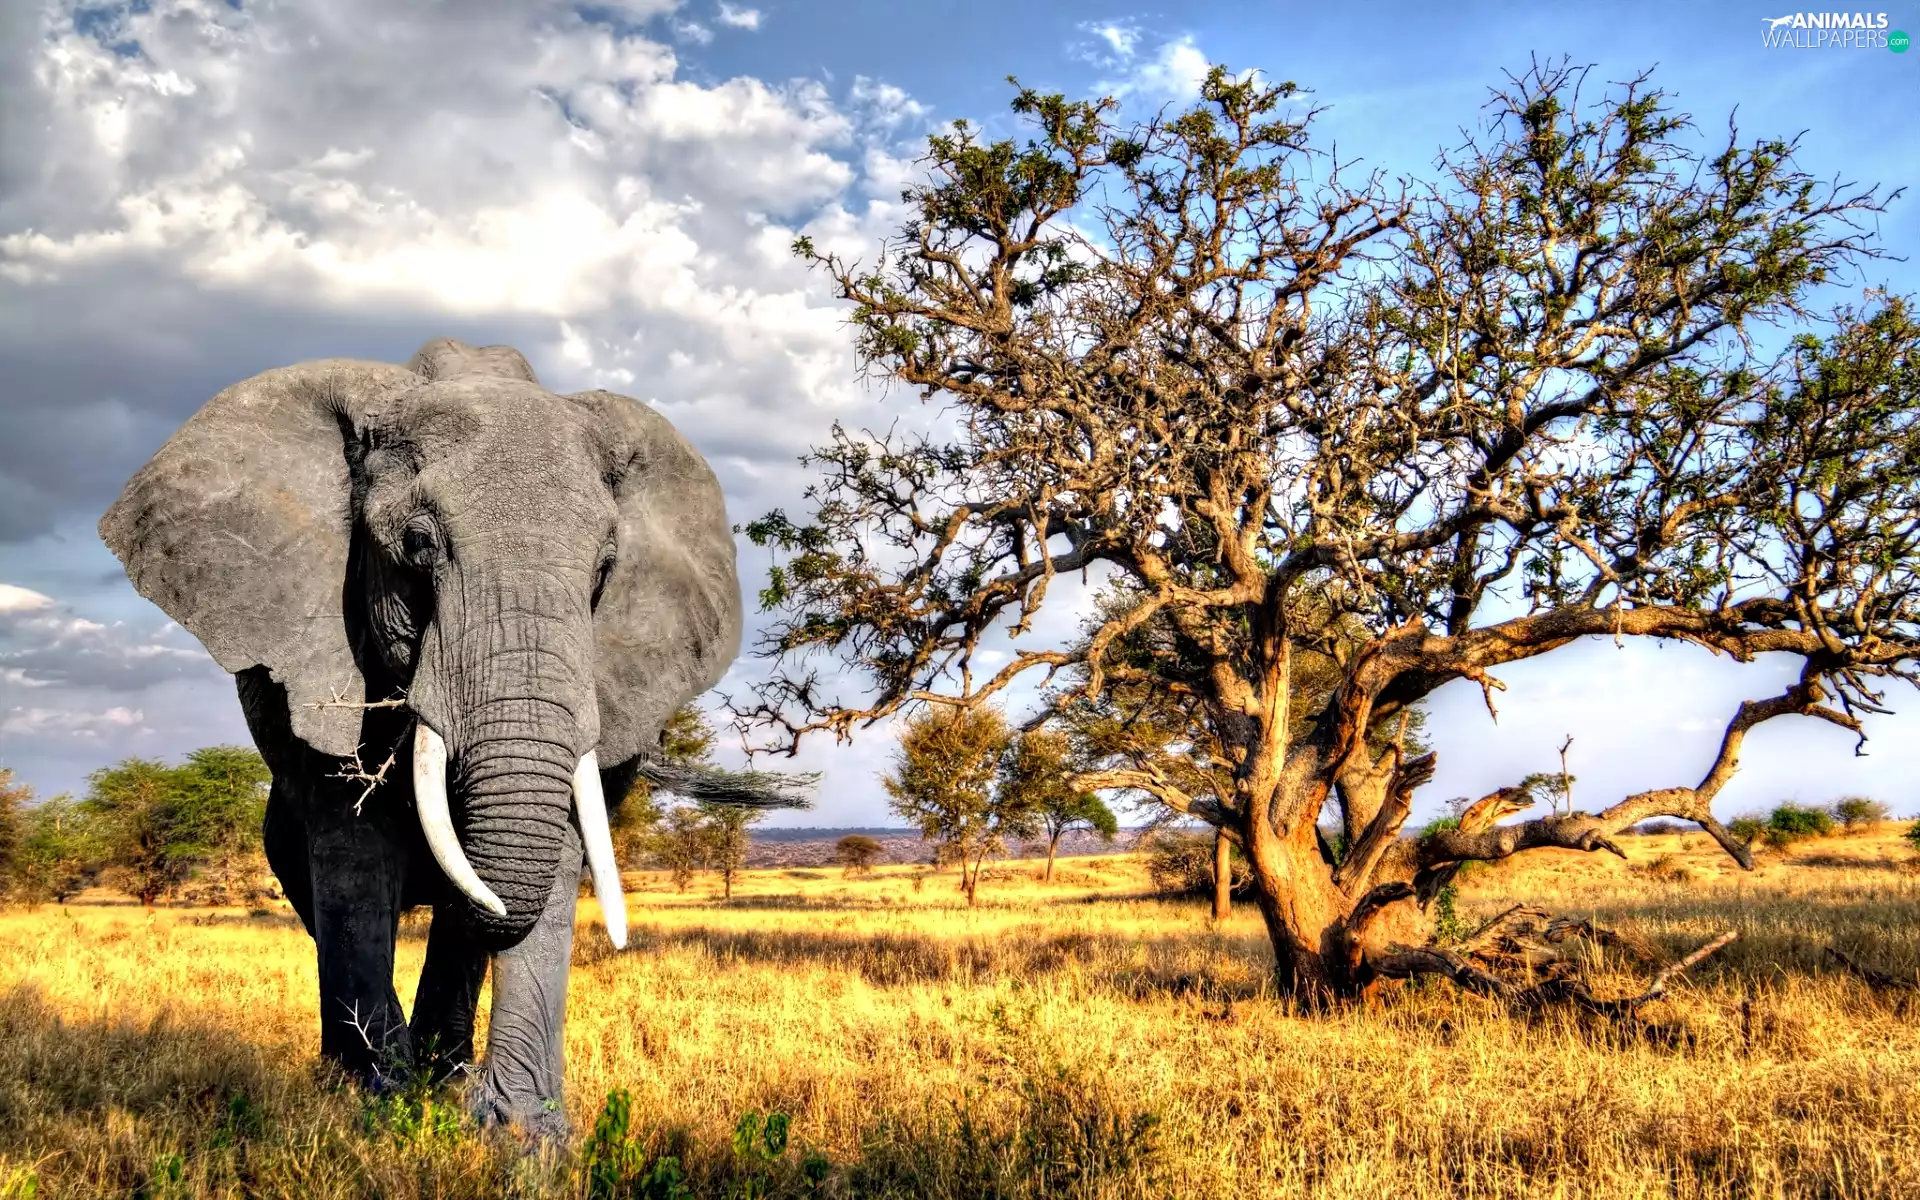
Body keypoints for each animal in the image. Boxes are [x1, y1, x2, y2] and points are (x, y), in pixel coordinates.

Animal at [99, 337, 789, 1139]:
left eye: (605, 570)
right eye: (419, 545)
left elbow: (554, 855)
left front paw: (524, 1137)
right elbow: (353, 848)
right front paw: (374, 1111)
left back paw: (445, 1074)